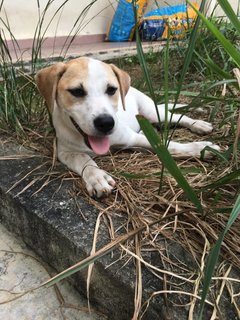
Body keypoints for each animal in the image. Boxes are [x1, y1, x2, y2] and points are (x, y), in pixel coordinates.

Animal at [35, 57, 219, 198]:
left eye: (111, 90)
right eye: (76, 91)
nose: (106, 123)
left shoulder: (132, 138)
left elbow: (170, 146)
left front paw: (200, 148)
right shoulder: (64, 151)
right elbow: (83, 159)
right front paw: (97, 177)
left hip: (154, 112)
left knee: (177, 117)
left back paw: (198, 124)